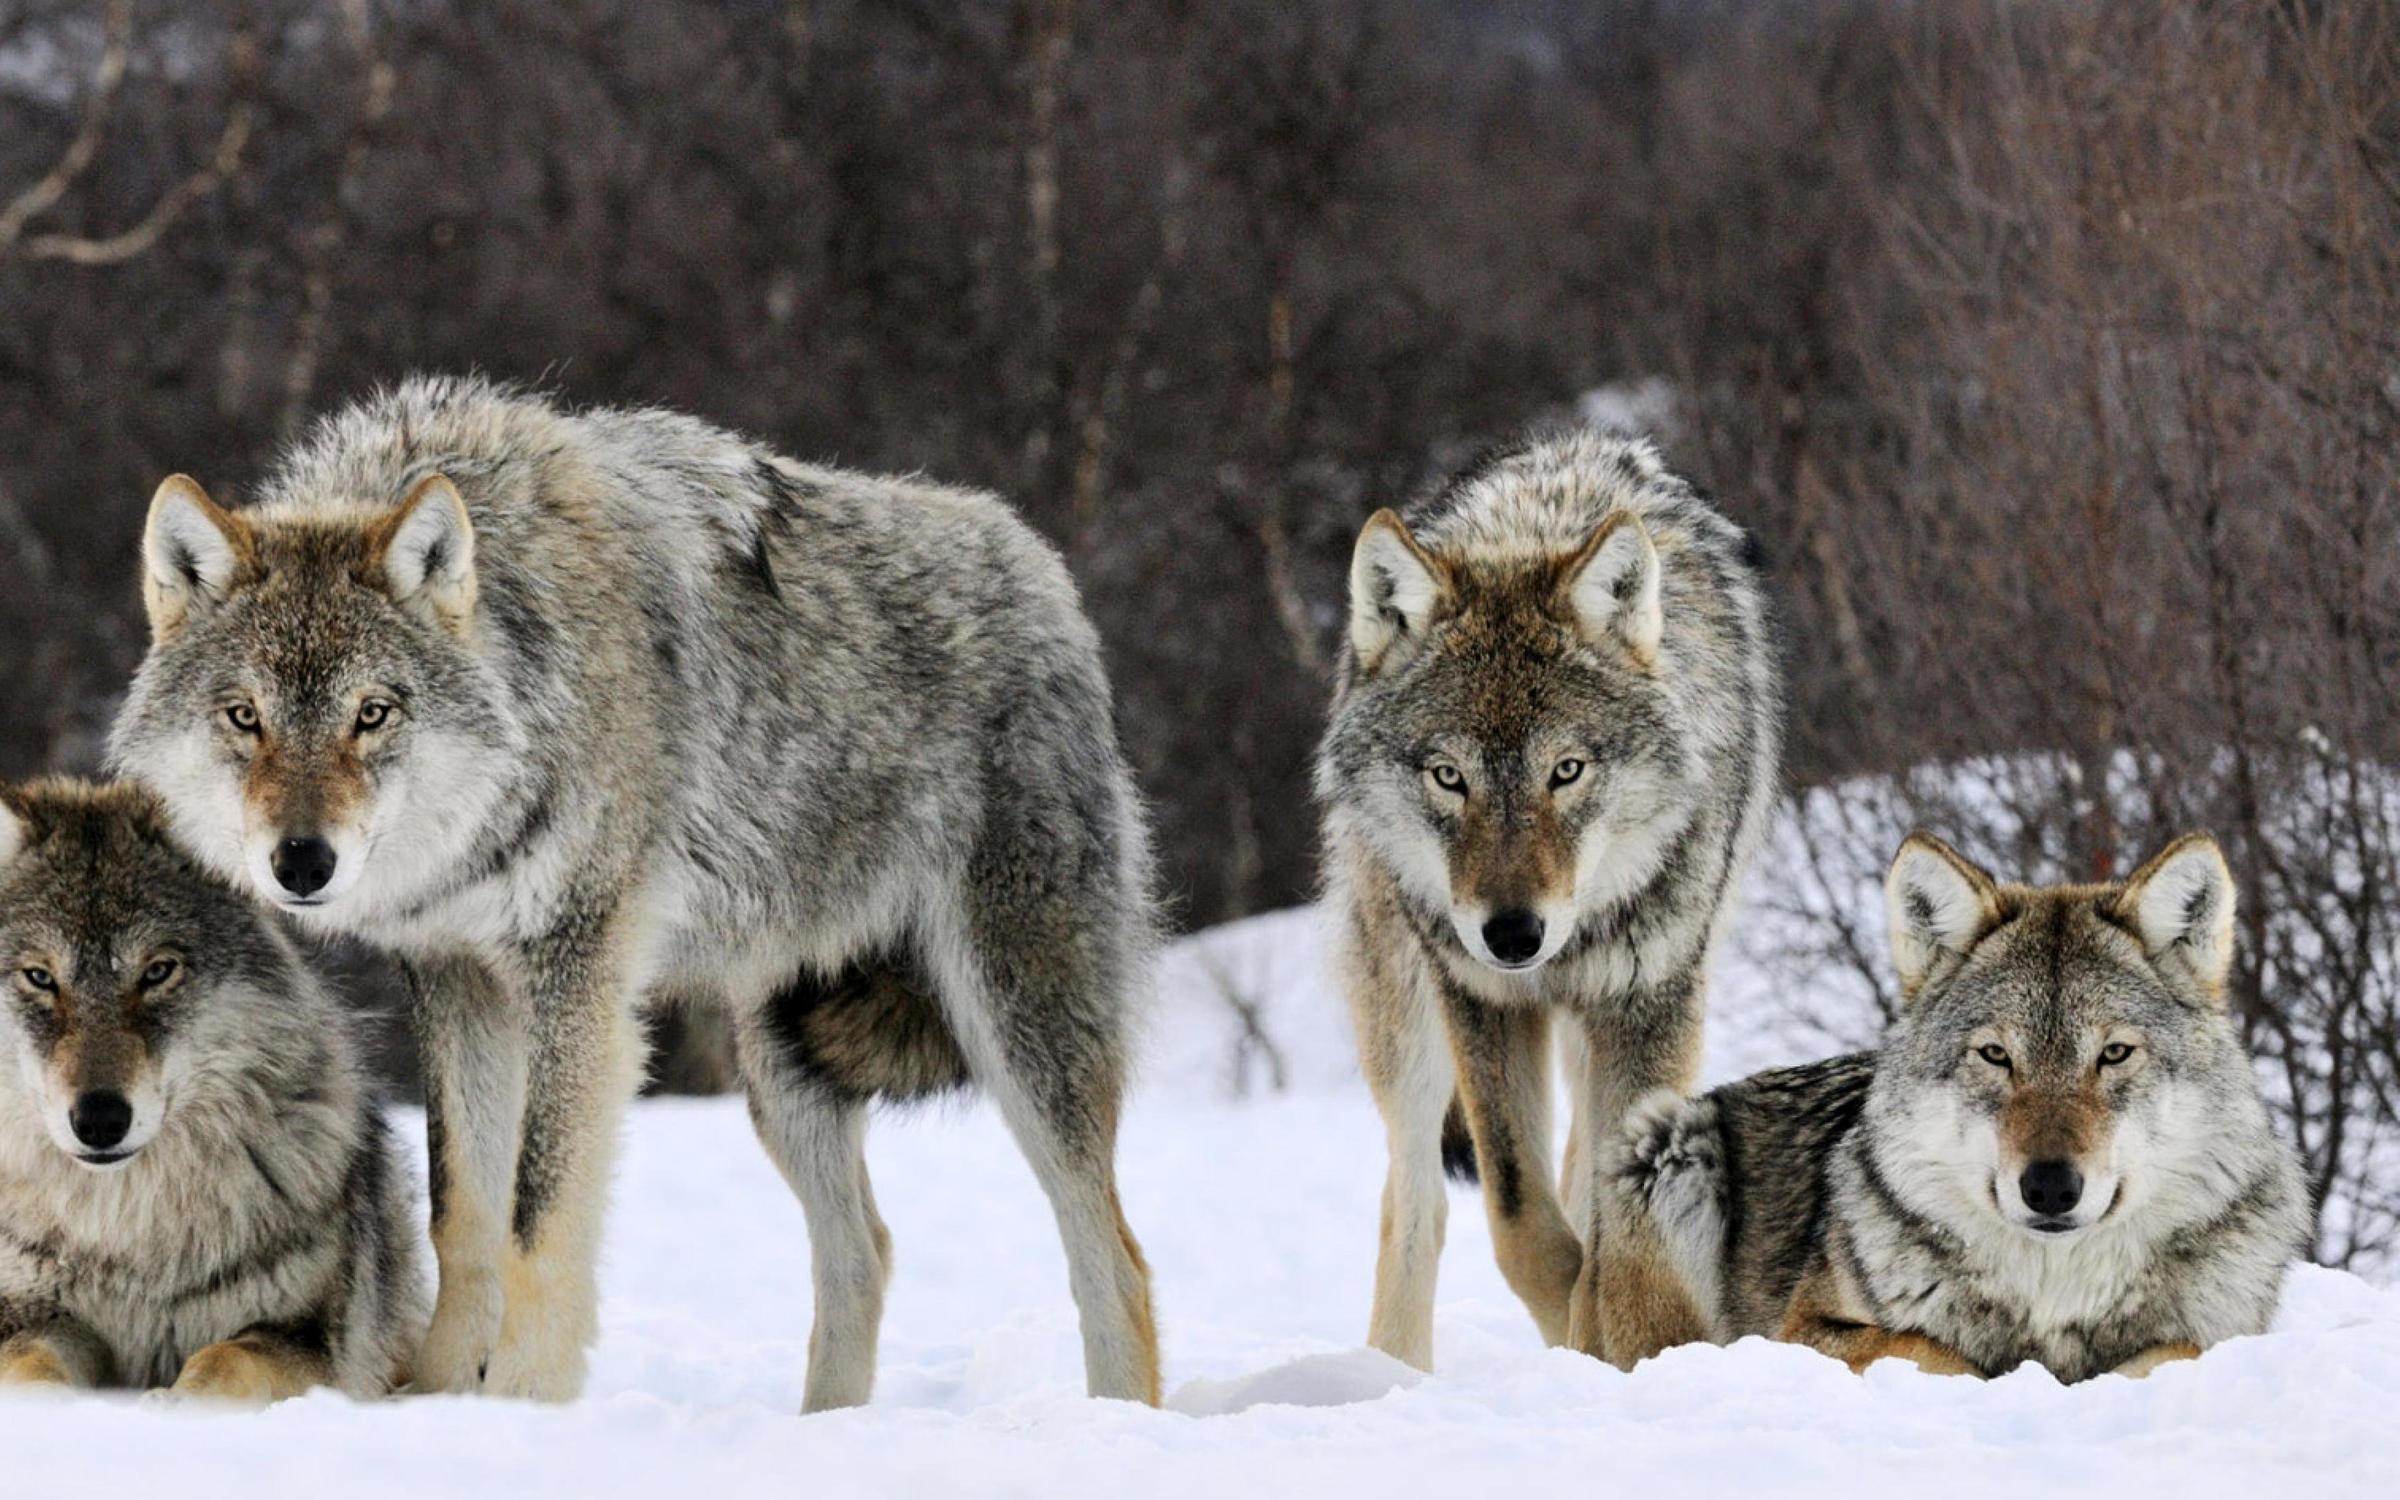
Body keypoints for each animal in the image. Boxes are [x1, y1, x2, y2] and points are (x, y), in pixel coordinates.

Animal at [0, 777, 427, 1401]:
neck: (126, 1228)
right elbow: (31, 1367)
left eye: (158, 971)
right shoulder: (27, 1317)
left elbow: (226, 1360)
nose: (100, 1119)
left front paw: (175, 1406)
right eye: (39, 977)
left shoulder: (305, 1337)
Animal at [112, 374, 1161, 1401]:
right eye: (245, 717)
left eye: (371, 714)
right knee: (864, 1252)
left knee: (1115, 1260)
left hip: (1016, 1029)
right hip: (783, 1065)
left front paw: (521, 1405)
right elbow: (462, 1216)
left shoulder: (578, 976)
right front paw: (442, 1399)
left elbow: (537, 1220)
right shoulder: (458, 979)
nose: (302, 863)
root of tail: (1043, 570)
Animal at [1315, 429, 1785, 1372]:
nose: (1512, 934)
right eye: (1448, 776)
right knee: (1414, 1198)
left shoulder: (1651, 1001)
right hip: (1405, 1012)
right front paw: (1577, 1330)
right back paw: (1392, 1374)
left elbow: (1610, 1221)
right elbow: (1522, 1222)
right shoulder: (1483, 1000)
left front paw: (1609, 1342)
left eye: (1566, 771)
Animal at [1593, 830, 2304, 1382]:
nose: (2050, 1187)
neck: (2053, 1295)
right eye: (1995, 1055)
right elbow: (1932, 1350)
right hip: (1667, 1142)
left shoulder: (2221, 1334)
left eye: (2114, 1054)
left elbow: (2176, 1351)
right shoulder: (1805, 1330)